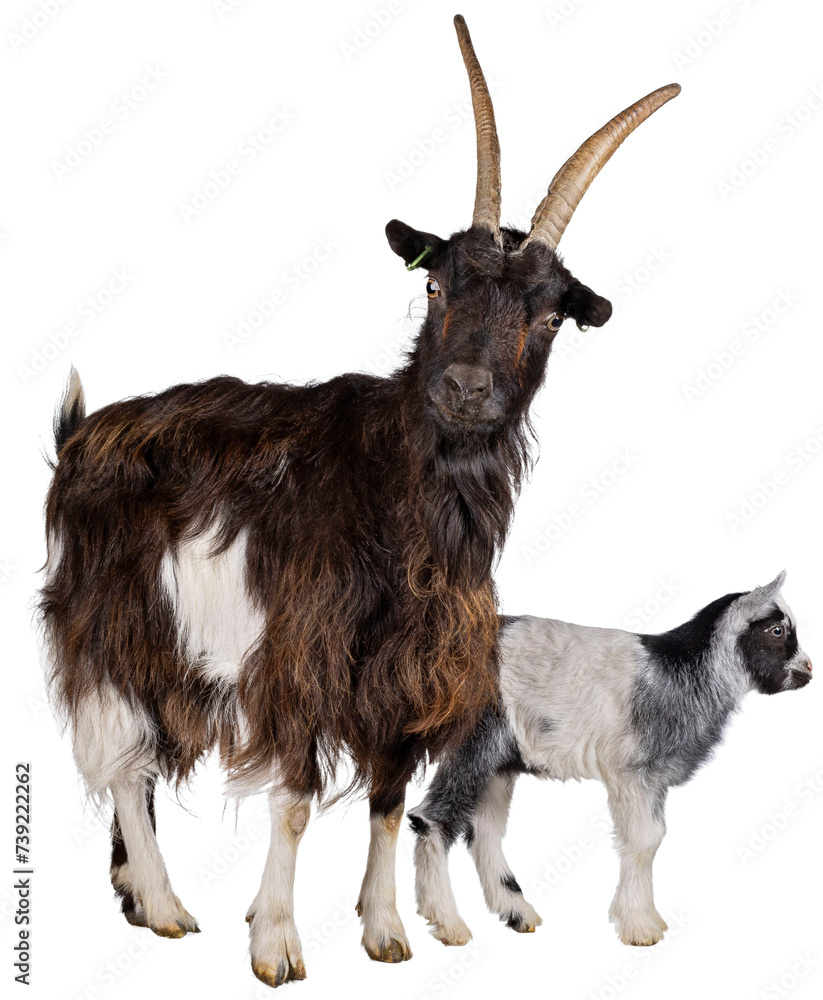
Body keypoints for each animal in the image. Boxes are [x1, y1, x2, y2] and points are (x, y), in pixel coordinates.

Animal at [39, 15, 679, 987]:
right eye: (436, 284)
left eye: (548, 316)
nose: (462, 388)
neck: (399, 497)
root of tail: (80, 433)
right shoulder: (299, 657)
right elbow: (297, 800)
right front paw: (274, 944)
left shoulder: (407, 674)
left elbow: (384, 798)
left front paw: (385, 932)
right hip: (108, 624)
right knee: (120, 758)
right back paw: (166, 905)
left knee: (141, 763)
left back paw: (140, 900)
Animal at [410, 572, 812, 948]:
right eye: (777, 630)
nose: (807, 671)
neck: (683, 673)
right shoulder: (629, 772)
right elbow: (644, 840)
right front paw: (639, 928)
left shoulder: (654, 779)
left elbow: (655, 837)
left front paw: (646, 918)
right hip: (473, 743)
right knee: (431, 819)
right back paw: (449, 924)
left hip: (499, 761)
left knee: (485, 831)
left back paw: (516, 913)